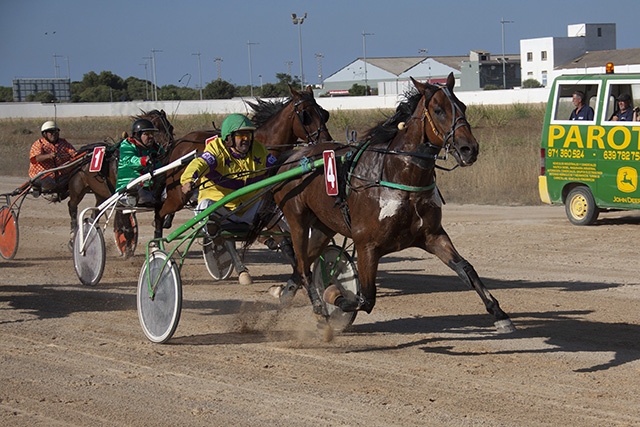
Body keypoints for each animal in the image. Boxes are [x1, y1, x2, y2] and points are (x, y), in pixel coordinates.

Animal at [154, 85, 332, 241]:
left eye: (323, 113)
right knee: (160, 213)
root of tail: (179, 143)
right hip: (178, 196)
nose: (326, 141)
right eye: (305, 114)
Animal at [248, 73, 516, 334]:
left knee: (302, 266)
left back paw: (286, 293)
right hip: (298, 221)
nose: (469, 148)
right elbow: (365, 299)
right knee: (303, 267)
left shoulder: (432, 235)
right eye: (439, 110)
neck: (398, 175)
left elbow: (466, 269)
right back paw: (319, 310)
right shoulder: (367, 244)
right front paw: (333, 295)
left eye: (462, 106)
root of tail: (292, 156)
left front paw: (499, 313)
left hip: (324, 226)